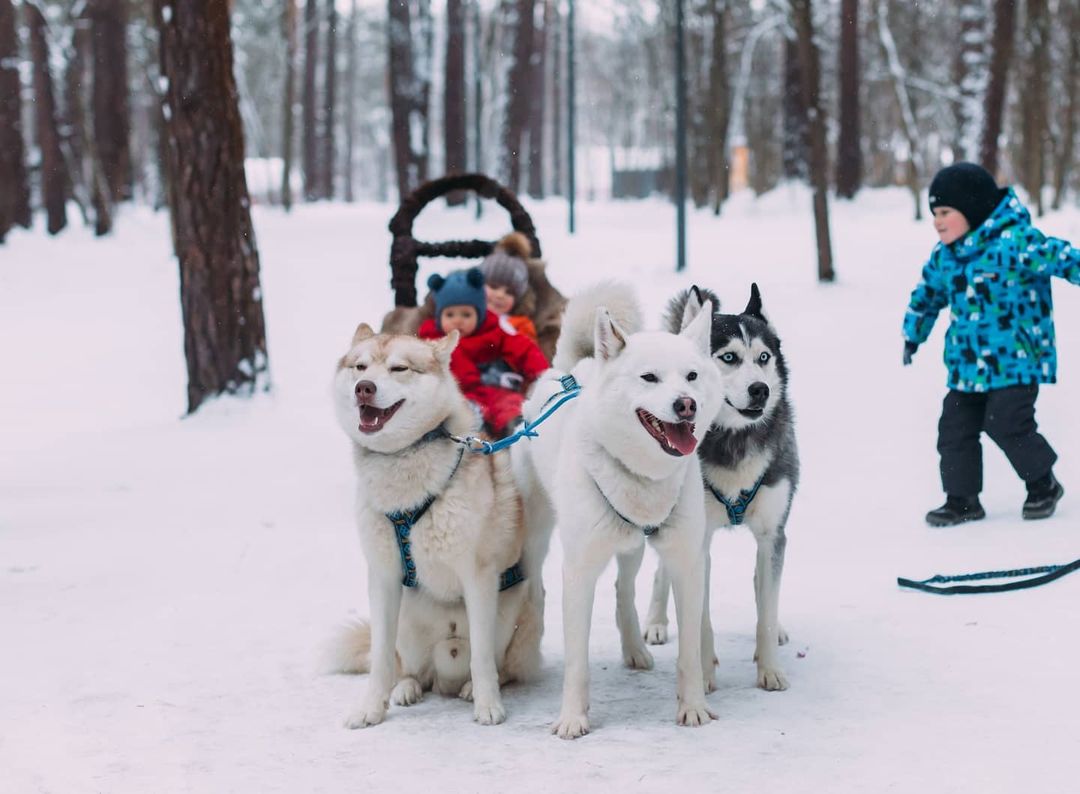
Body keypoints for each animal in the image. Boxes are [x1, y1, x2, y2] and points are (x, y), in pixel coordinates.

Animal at [328, 321, 544, 725]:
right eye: (360, 367)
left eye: (399, 368)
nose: (364, 387)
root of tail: (446, 673)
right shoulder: (383, 577)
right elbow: (381, 659)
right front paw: (370, 708)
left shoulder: (478, 578)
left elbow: (482, 658)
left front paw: (488, 705)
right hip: (406, 623)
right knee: (410, 670)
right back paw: (406, 688)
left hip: (517, 614)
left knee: (499, 665)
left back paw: (473, 687)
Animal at [507, 285, 721, 738]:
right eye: (649, 377)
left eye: (692, 376)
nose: (686, 404)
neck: (644, 477)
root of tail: (571, 371)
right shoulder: (579, 571)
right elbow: (577, 661)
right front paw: (573, 717)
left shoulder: (687, 565)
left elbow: (690, 653)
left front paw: (693, 707)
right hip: (538, 535)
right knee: (536, 586)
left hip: (632, 547)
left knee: (624, 589)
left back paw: (635, 649)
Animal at [639, 285, 803, 691]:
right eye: (729, 357)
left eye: (763, 357)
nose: (760, 389)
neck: (733, 440)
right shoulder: (697, 540)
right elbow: (700, 616)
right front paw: (704, 673)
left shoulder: (772, 534)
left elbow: (766, 605)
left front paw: (769, 669)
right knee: (663, 570)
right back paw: (656, 622)